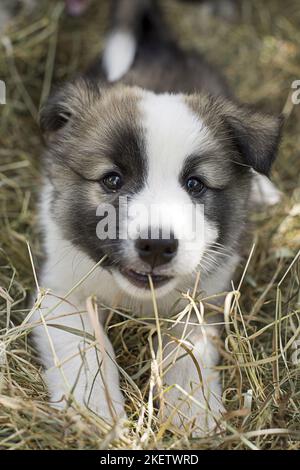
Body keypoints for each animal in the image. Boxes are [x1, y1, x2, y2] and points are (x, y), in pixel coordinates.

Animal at [31, 0, 282, 436]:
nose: (157, 246)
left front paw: (192, 416)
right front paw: (96, 412)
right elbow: (83, 346)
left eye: (195, 184)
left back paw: (264, 190)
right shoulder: (60, 292)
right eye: (112, 179)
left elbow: (187, 353)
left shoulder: (202, 297)